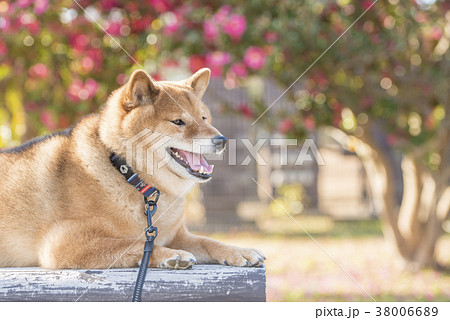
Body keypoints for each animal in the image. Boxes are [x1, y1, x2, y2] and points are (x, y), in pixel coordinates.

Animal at [0, 68, 264, 270]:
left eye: (204, 118)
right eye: (178, 122)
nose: (222, 140)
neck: (132, 178)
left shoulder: (177, 235)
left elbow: (208, 241)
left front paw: (239, 251)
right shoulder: (64, 244)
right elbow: (131, 244)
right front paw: (171, 255)